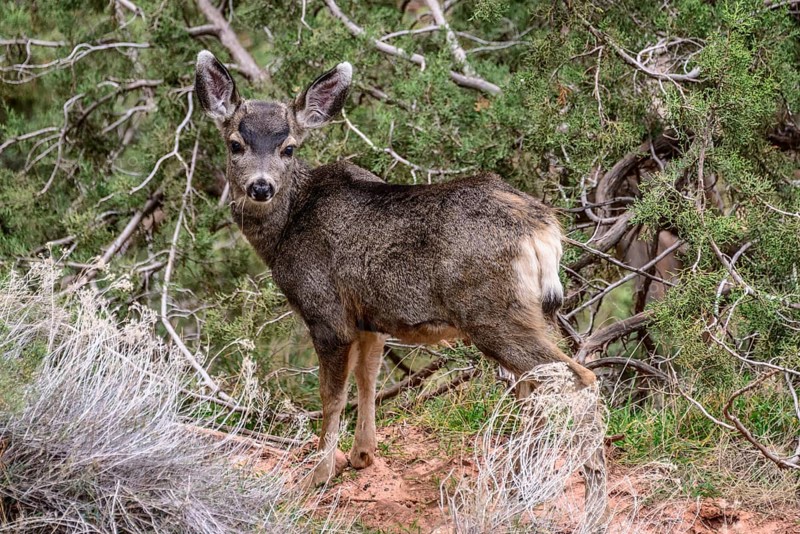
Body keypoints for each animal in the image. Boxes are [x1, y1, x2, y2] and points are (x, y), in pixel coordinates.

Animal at [194, 50, 604, 500]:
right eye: (236, 144)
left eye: (289, 148)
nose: (261, 187)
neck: (289, 227)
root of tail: (543, 227)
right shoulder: (370, 318)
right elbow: (368, 379)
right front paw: (362, 456)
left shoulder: (327, 312)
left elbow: (331, 396)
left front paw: (318, 475)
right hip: (528, 312)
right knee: (536, 386)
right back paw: (518, 475)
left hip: (492, 312)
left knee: (578, 377)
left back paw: (586, 486)